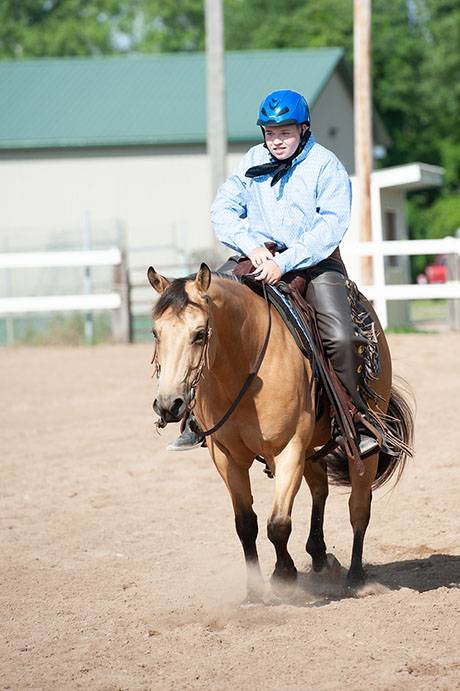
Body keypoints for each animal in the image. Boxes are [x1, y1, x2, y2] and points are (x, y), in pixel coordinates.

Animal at [148, 262, 414, 604]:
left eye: (199, 334)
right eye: (155, 332)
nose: (169, 404)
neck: (244, 365)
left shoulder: (288, 450)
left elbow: (277, 524)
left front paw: (284, 576)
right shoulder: (226, 456)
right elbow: (245, 524)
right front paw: (254, 591)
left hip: (364, 444)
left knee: (359, 506)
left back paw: (356, 578)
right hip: (311, 448)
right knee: (320, 489)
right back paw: (320, 557)